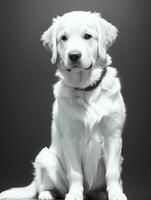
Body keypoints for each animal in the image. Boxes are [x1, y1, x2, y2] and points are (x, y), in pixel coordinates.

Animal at [0, 10, 127, 200]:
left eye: (87, 36)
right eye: (63, 38)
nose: (74, 55)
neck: (85, 89)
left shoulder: (113, 135)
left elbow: (112, 172)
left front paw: (116, 194)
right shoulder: (70, 138)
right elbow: (75, 173)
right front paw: (74, 194)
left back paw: (100, 194)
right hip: (46, 158)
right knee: (45, 187)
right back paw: (47, 194)